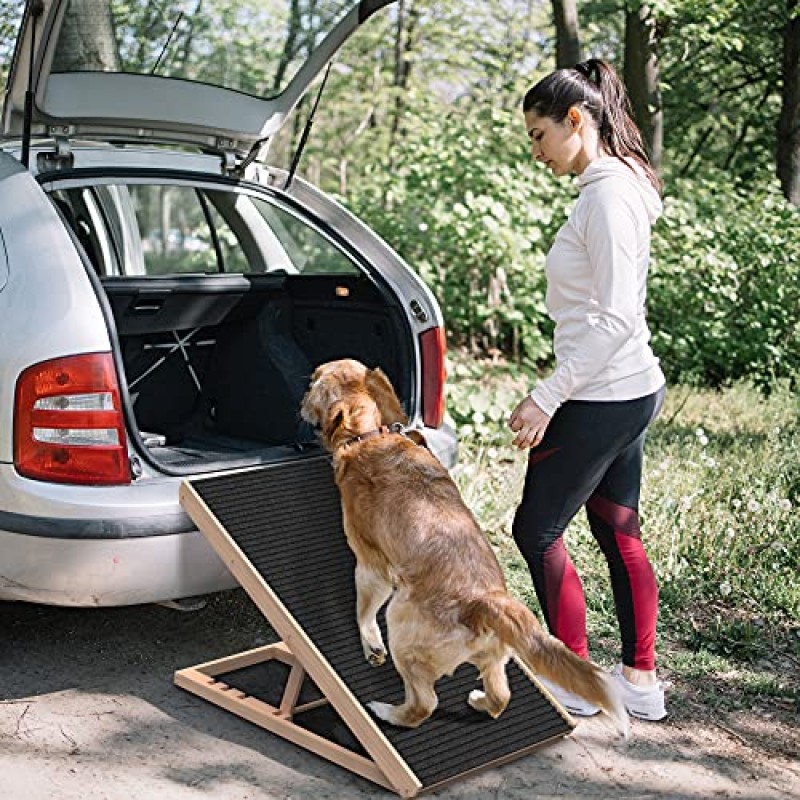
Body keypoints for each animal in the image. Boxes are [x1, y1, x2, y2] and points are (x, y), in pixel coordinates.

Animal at [300, 360, 624, 736]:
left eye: (313, 382)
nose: (301, 400)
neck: (373, 434)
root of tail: (485, 601)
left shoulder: (371, 567)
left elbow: (363, 614)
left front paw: (371, 645)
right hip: (494, 657)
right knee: (500, 697)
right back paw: (479, 701)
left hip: (401, 622)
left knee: (424, 704)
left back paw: (387, 712)